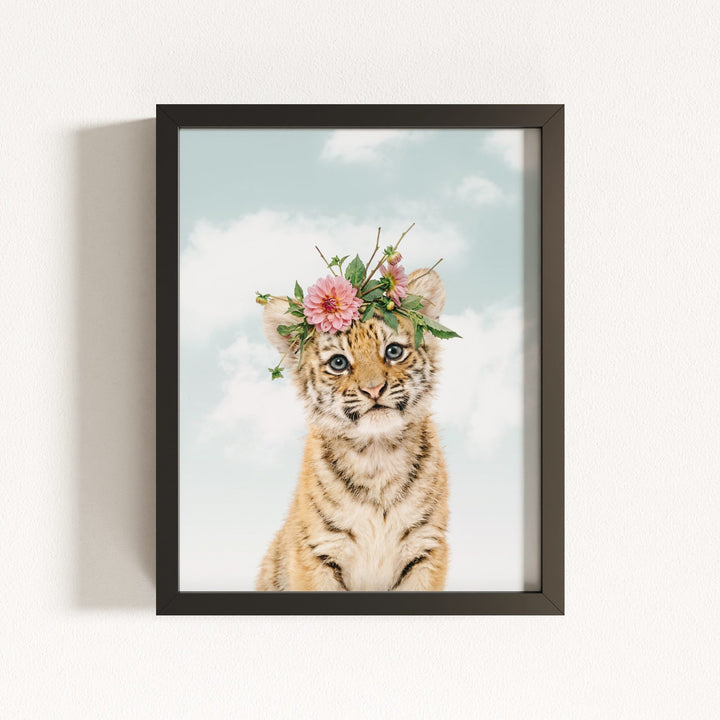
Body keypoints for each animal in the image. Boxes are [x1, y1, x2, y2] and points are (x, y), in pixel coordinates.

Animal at [255, 268, 449, 591]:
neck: (377, 454)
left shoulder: (426, 549)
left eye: (393, 351)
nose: (374, 389)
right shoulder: (318, 552)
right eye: (338, 363)